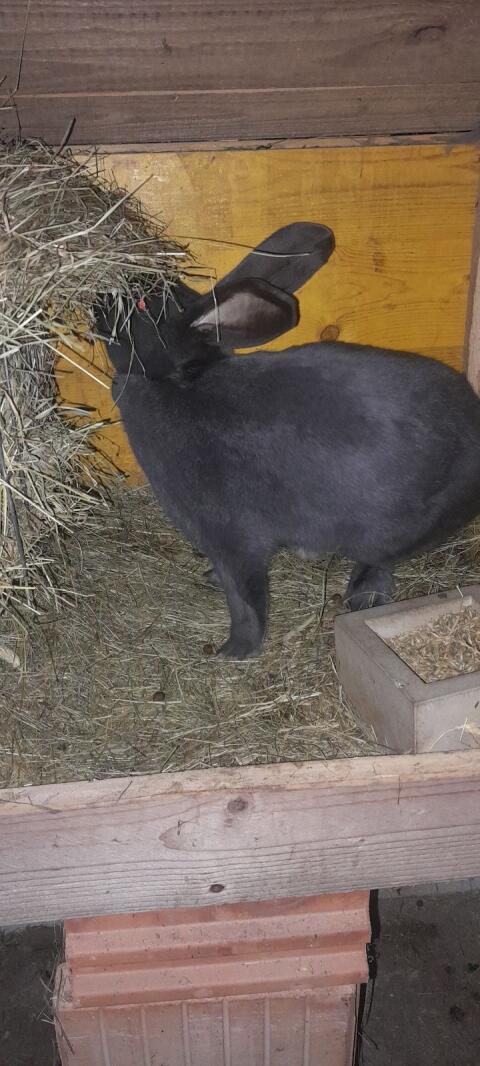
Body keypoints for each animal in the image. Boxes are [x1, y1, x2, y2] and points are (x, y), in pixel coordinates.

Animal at [95, 223, 480, 659]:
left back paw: (364, 594)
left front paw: (234, 651)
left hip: (394, 528)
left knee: (380, 559)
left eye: (142, 304)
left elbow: (245, 599)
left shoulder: (231, 538)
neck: (178, 381)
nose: (98, 298)